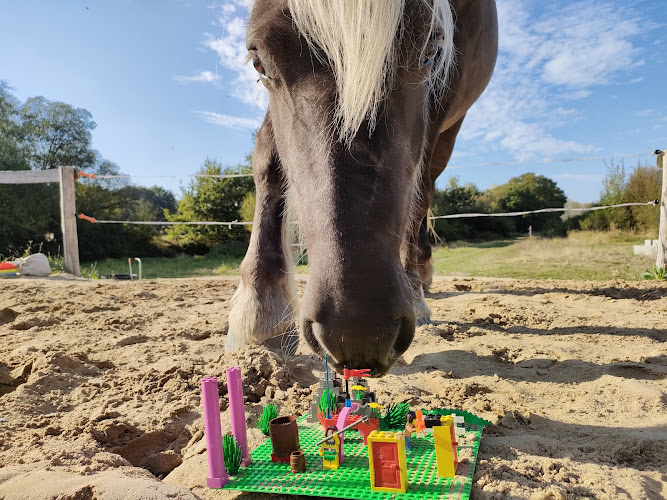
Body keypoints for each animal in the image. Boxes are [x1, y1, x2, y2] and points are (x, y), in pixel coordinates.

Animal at [226, 0, 498, 377]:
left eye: (431, 52)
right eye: (258, 62)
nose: (356, 333)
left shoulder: (448, 84)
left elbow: (419, 187)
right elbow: (267, 154)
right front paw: (261, 307)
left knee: (426, 187)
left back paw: (418, 279)